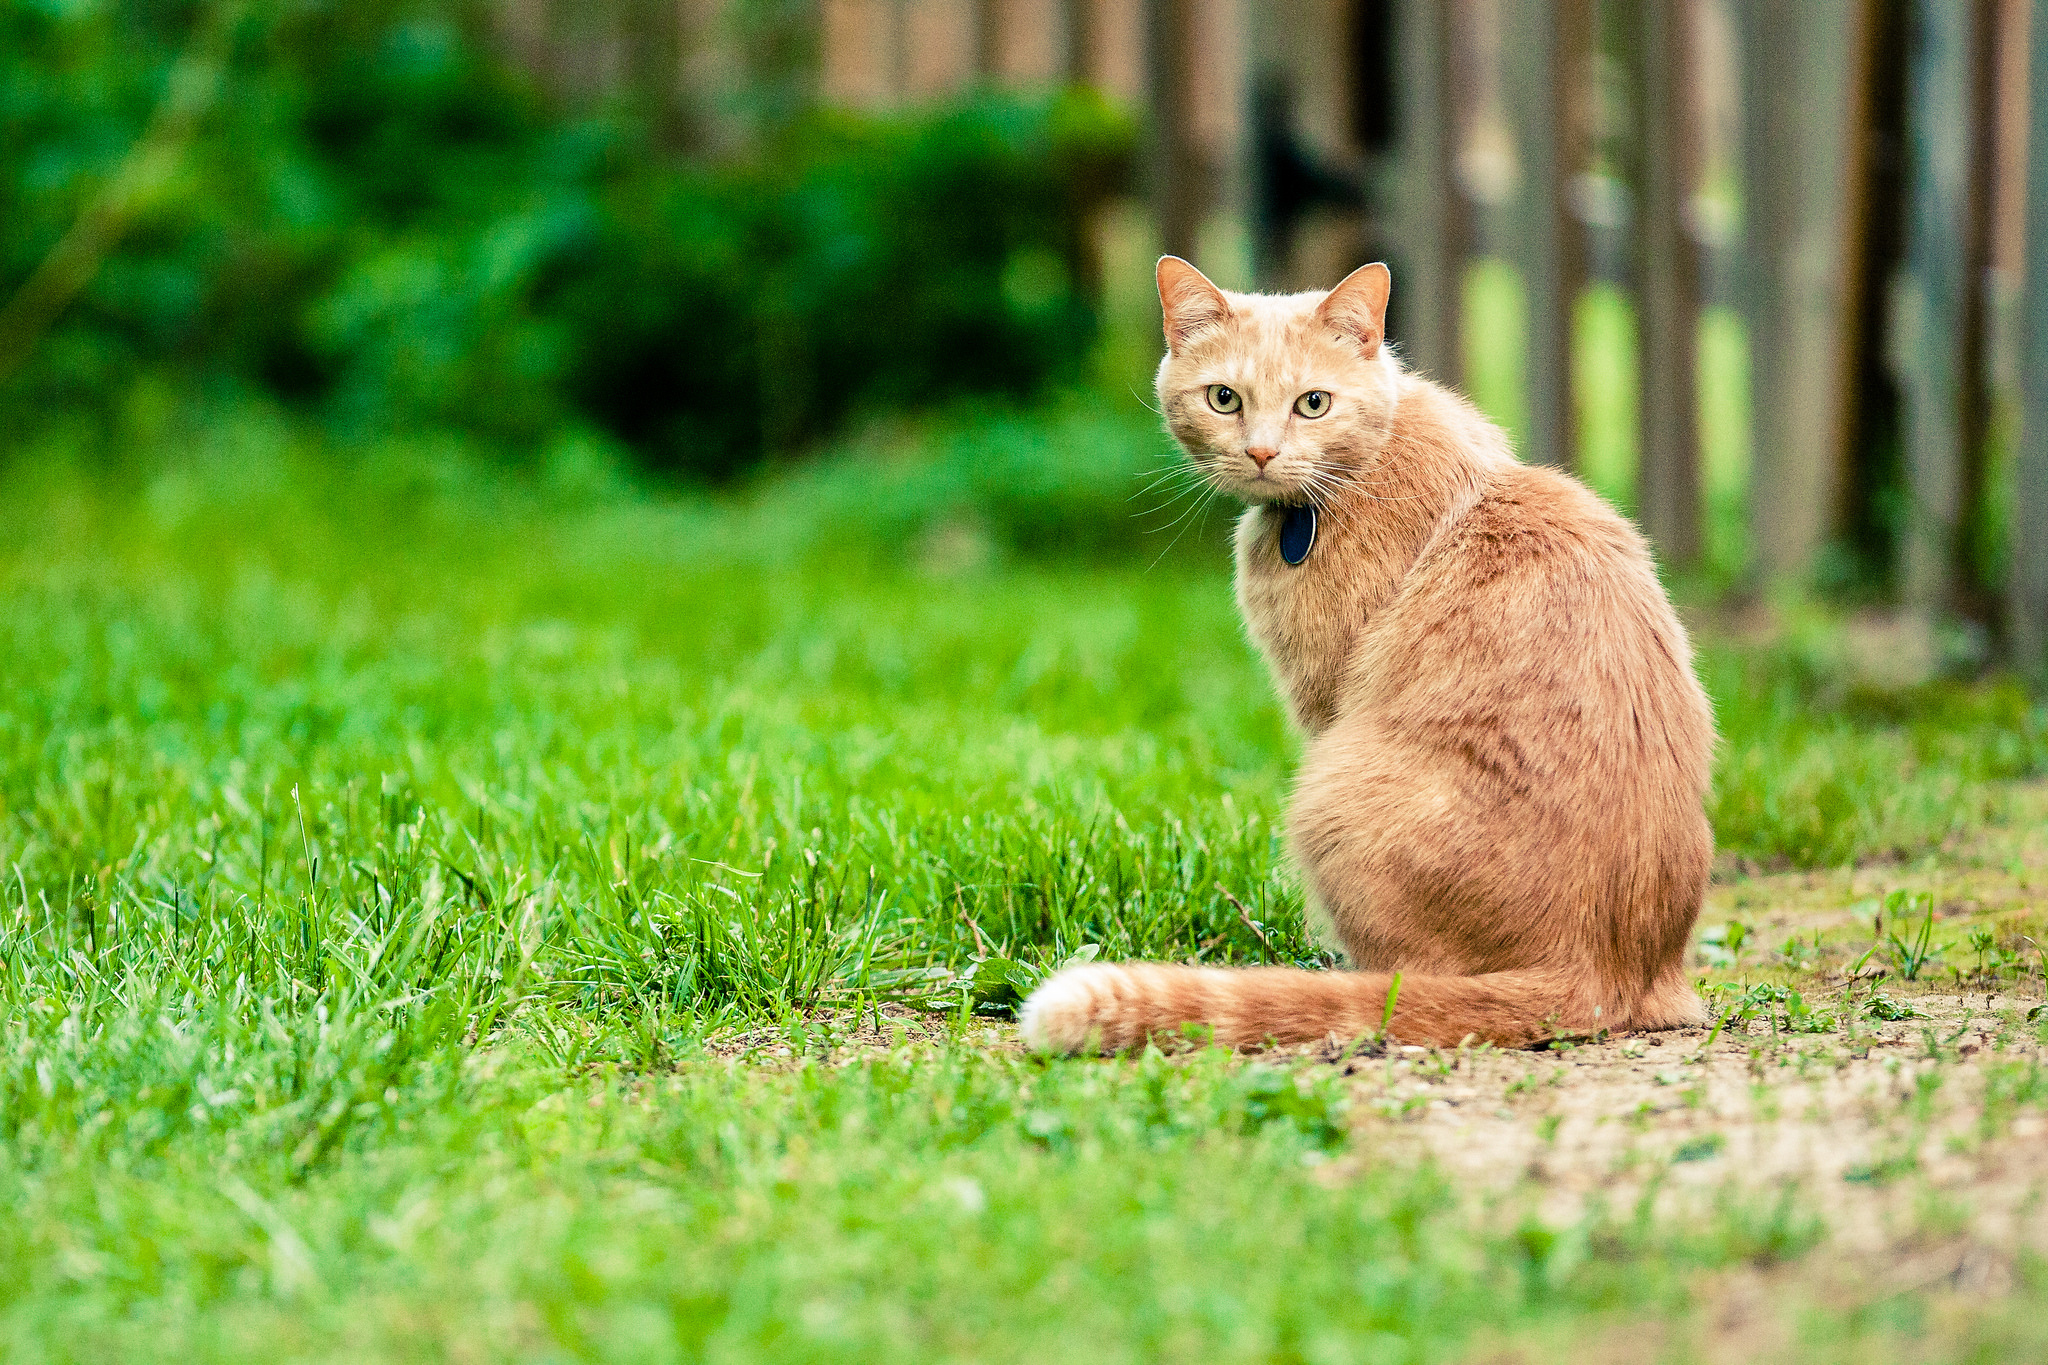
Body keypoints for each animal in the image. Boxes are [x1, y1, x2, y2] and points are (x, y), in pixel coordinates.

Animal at [1019, 258, 1712, 1055]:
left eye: (1313, 403)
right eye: (1225, 398)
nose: (1261, 451)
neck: (1361, 470)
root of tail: (1603, 974)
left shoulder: (1322, 703)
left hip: (1329, 793)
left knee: (1411, 983)